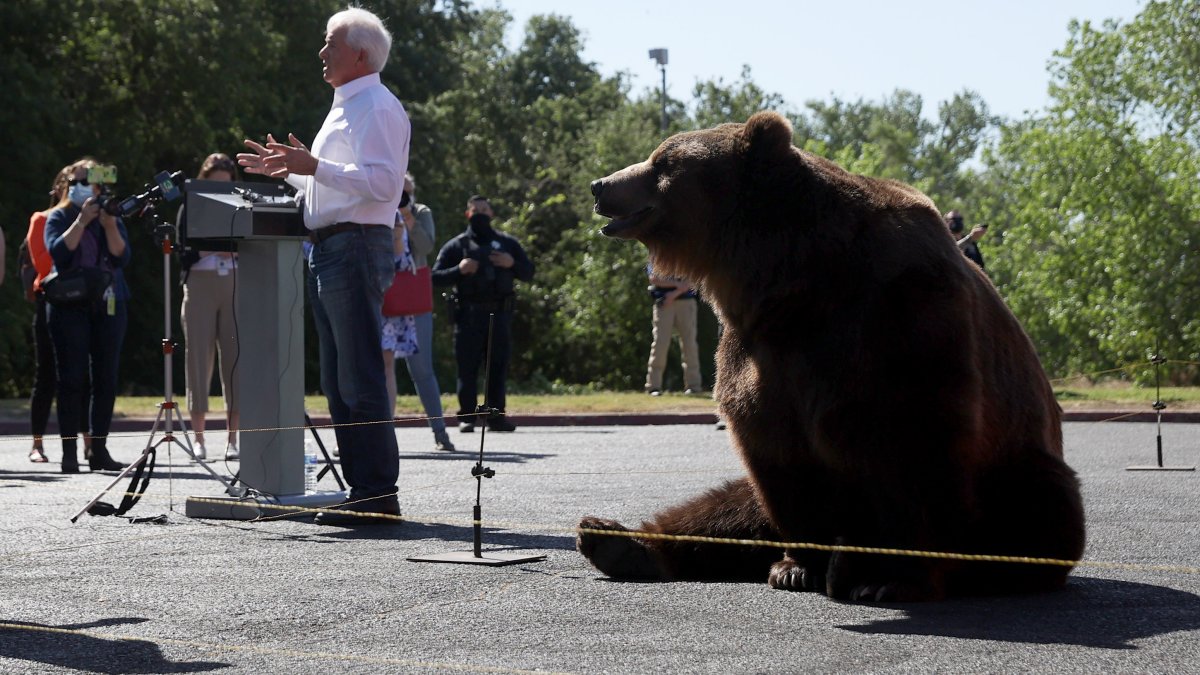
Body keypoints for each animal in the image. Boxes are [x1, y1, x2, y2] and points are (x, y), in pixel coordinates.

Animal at [580, 110, 1089, 598]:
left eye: (662, 162)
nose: (600, 185)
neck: (791, 279)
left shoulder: (899, 314)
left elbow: (917, 442)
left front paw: (894, 578)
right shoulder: (758, 349)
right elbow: (775, 451)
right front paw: (797, 566)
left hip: (1016, 472)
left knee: (1033, 507)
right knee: (729, 506)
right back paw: (614, 539)